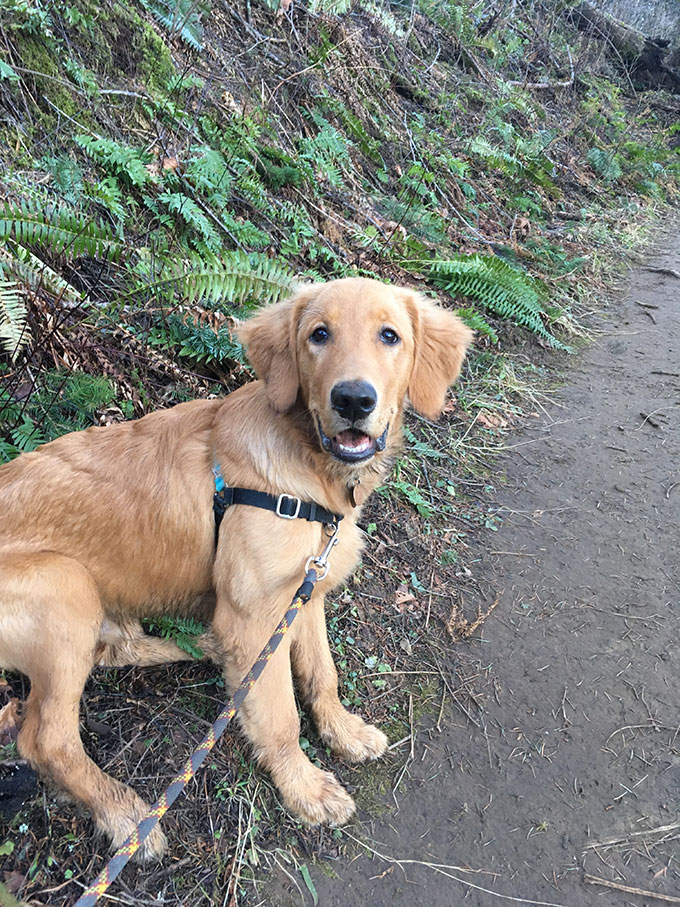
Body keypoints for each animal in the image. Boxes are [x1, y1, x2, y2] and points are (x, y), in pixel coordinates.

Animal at [0, 276, 470, 860]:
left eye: (390, 336)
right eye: (319, 334)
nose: (353, 399)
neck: (307, 472)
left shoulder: (303, 591)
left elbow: (322, 673)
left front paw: (343, 731)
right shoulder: (253, 616)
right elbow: (280, 714)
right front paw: (305, 787)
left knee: (114, 652)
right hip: (64, 584)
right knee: (46, 738)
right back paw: (125, 815)